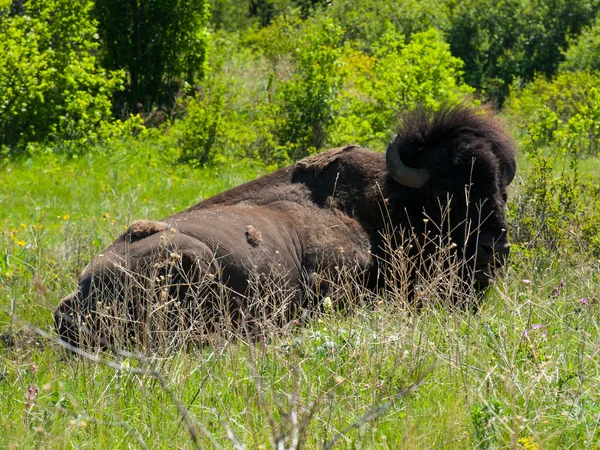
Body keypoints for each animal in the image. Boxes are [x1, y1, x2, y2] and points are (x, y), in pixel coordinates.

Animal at [55, 105, 516, 348]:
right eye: (446, 192)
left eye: (501, 189)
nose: (495, 248)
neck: (385, 204)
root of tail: (83, 287)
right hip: (192, 260)